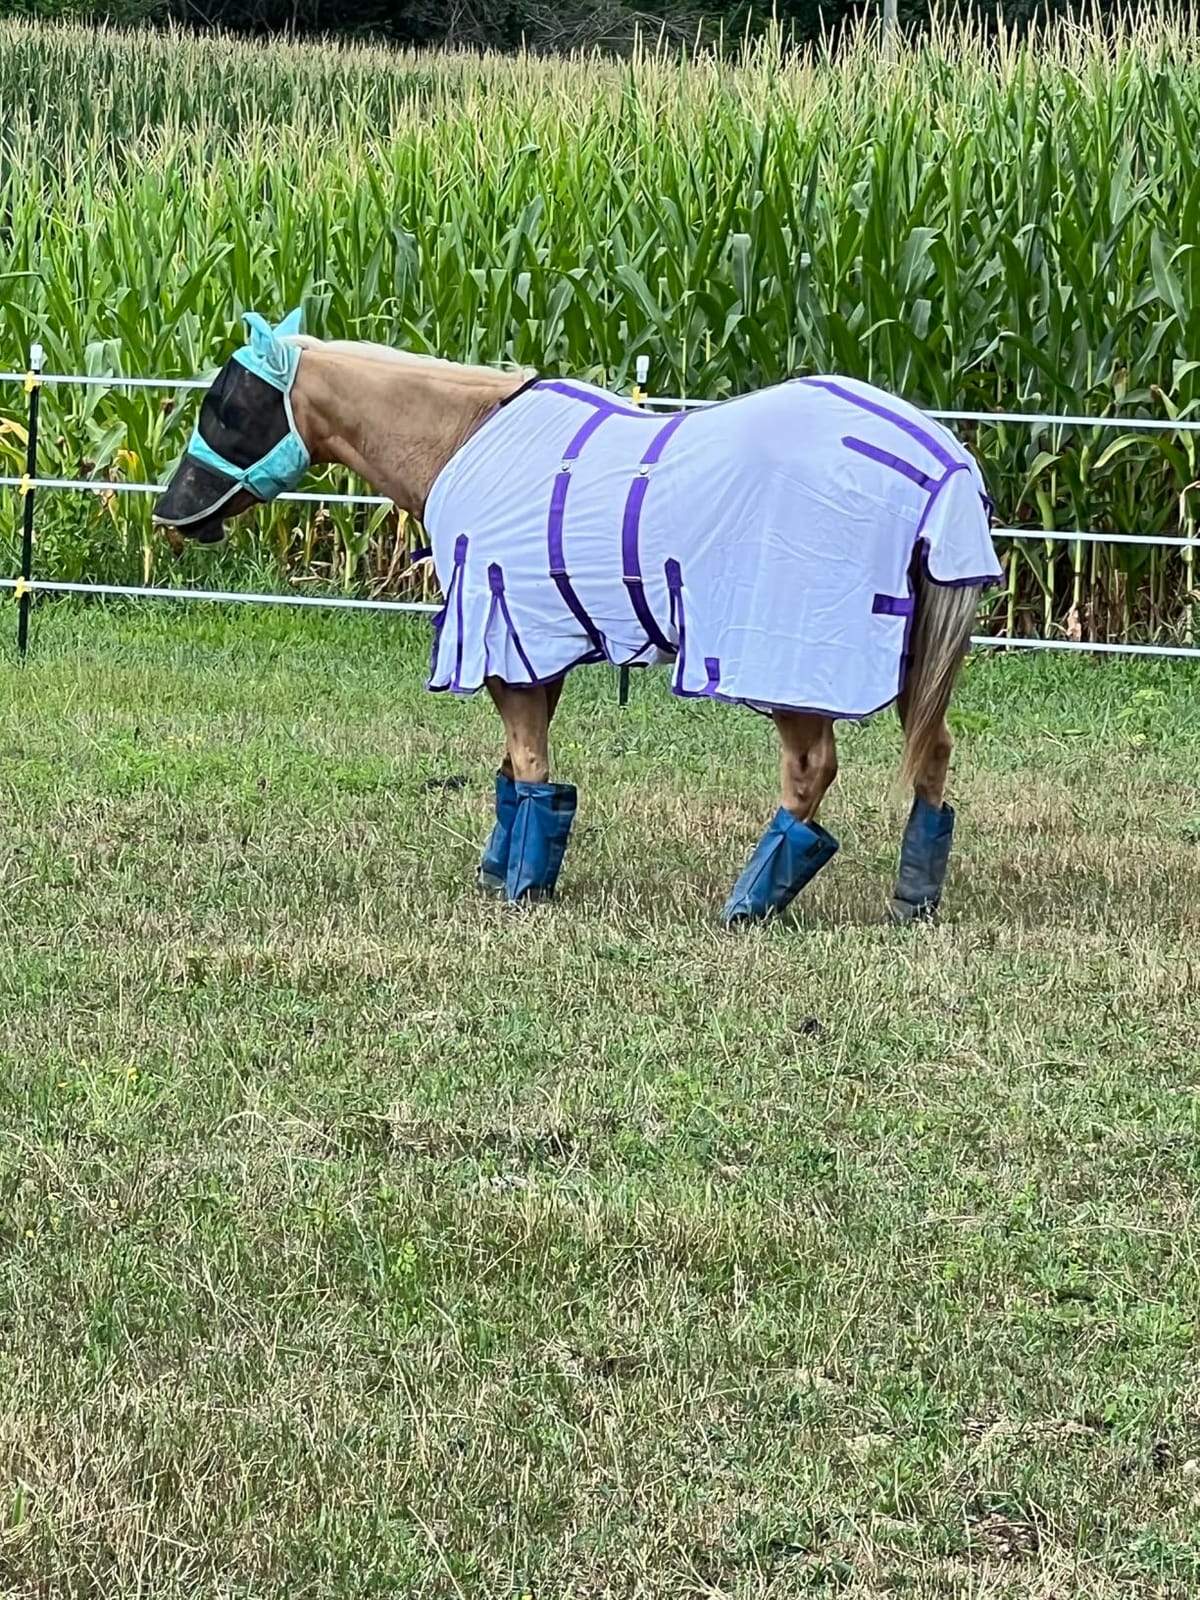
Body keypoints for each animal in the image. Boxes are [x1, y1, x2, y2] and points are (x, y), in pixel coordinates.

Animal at [152, 309, 1003, 926]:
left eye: (229, 406)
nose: (170, 513)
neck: (463, 441)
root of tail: (938, 461)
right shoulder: (534, 644)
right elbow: (514, 767)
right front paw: (501, 868)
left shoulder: (504, 634)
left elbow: (530, 763)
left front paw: (524, 888)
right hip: (915, 659)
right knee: (933, 758)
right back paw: (913, 900)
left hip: (790, 661)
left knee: (810, 770)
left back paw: (749, 902)